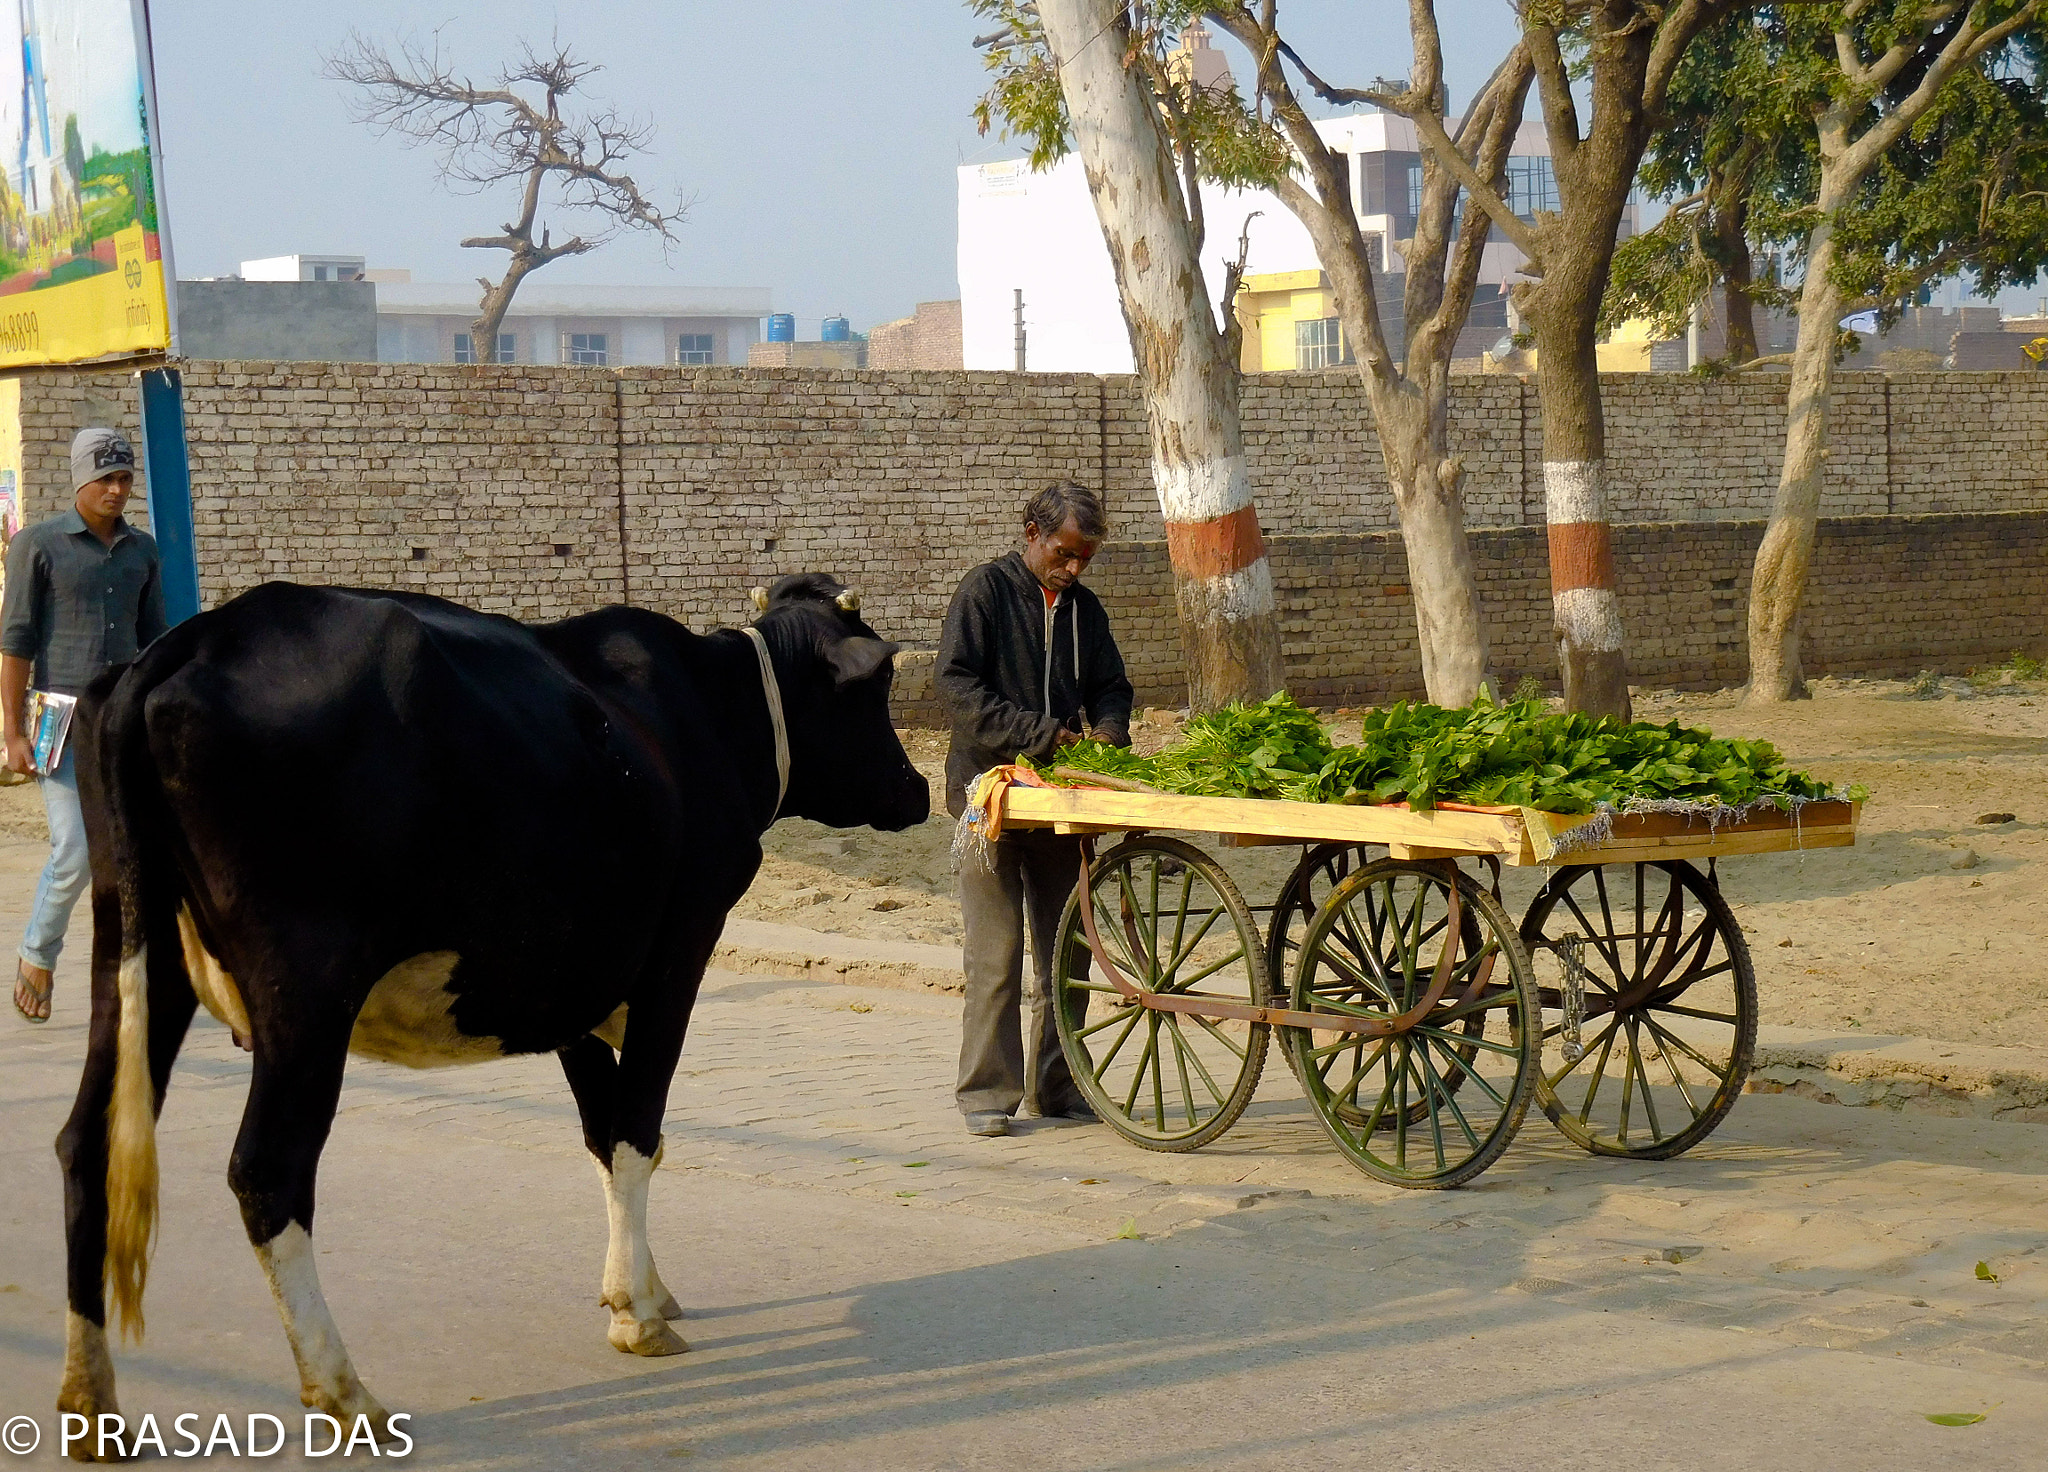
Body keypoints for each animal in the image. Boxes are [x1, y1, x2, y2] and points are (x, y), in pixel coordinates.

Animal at [49, 569, 929, 1441]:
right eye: (875, 688)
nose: (919, 789)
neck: (703, 716)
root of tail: (184, 644)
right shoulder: (677, 952)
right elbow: (637, 1133)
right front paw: (638, 1315)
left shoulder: (570, 978)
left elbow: (603, 1135)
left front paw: (638, 1285)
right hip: (305, 991)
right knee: (268, 1172)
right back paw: (341, 1387)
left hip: (132, 953)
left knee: (85, 1145)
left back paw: (90, 1396)